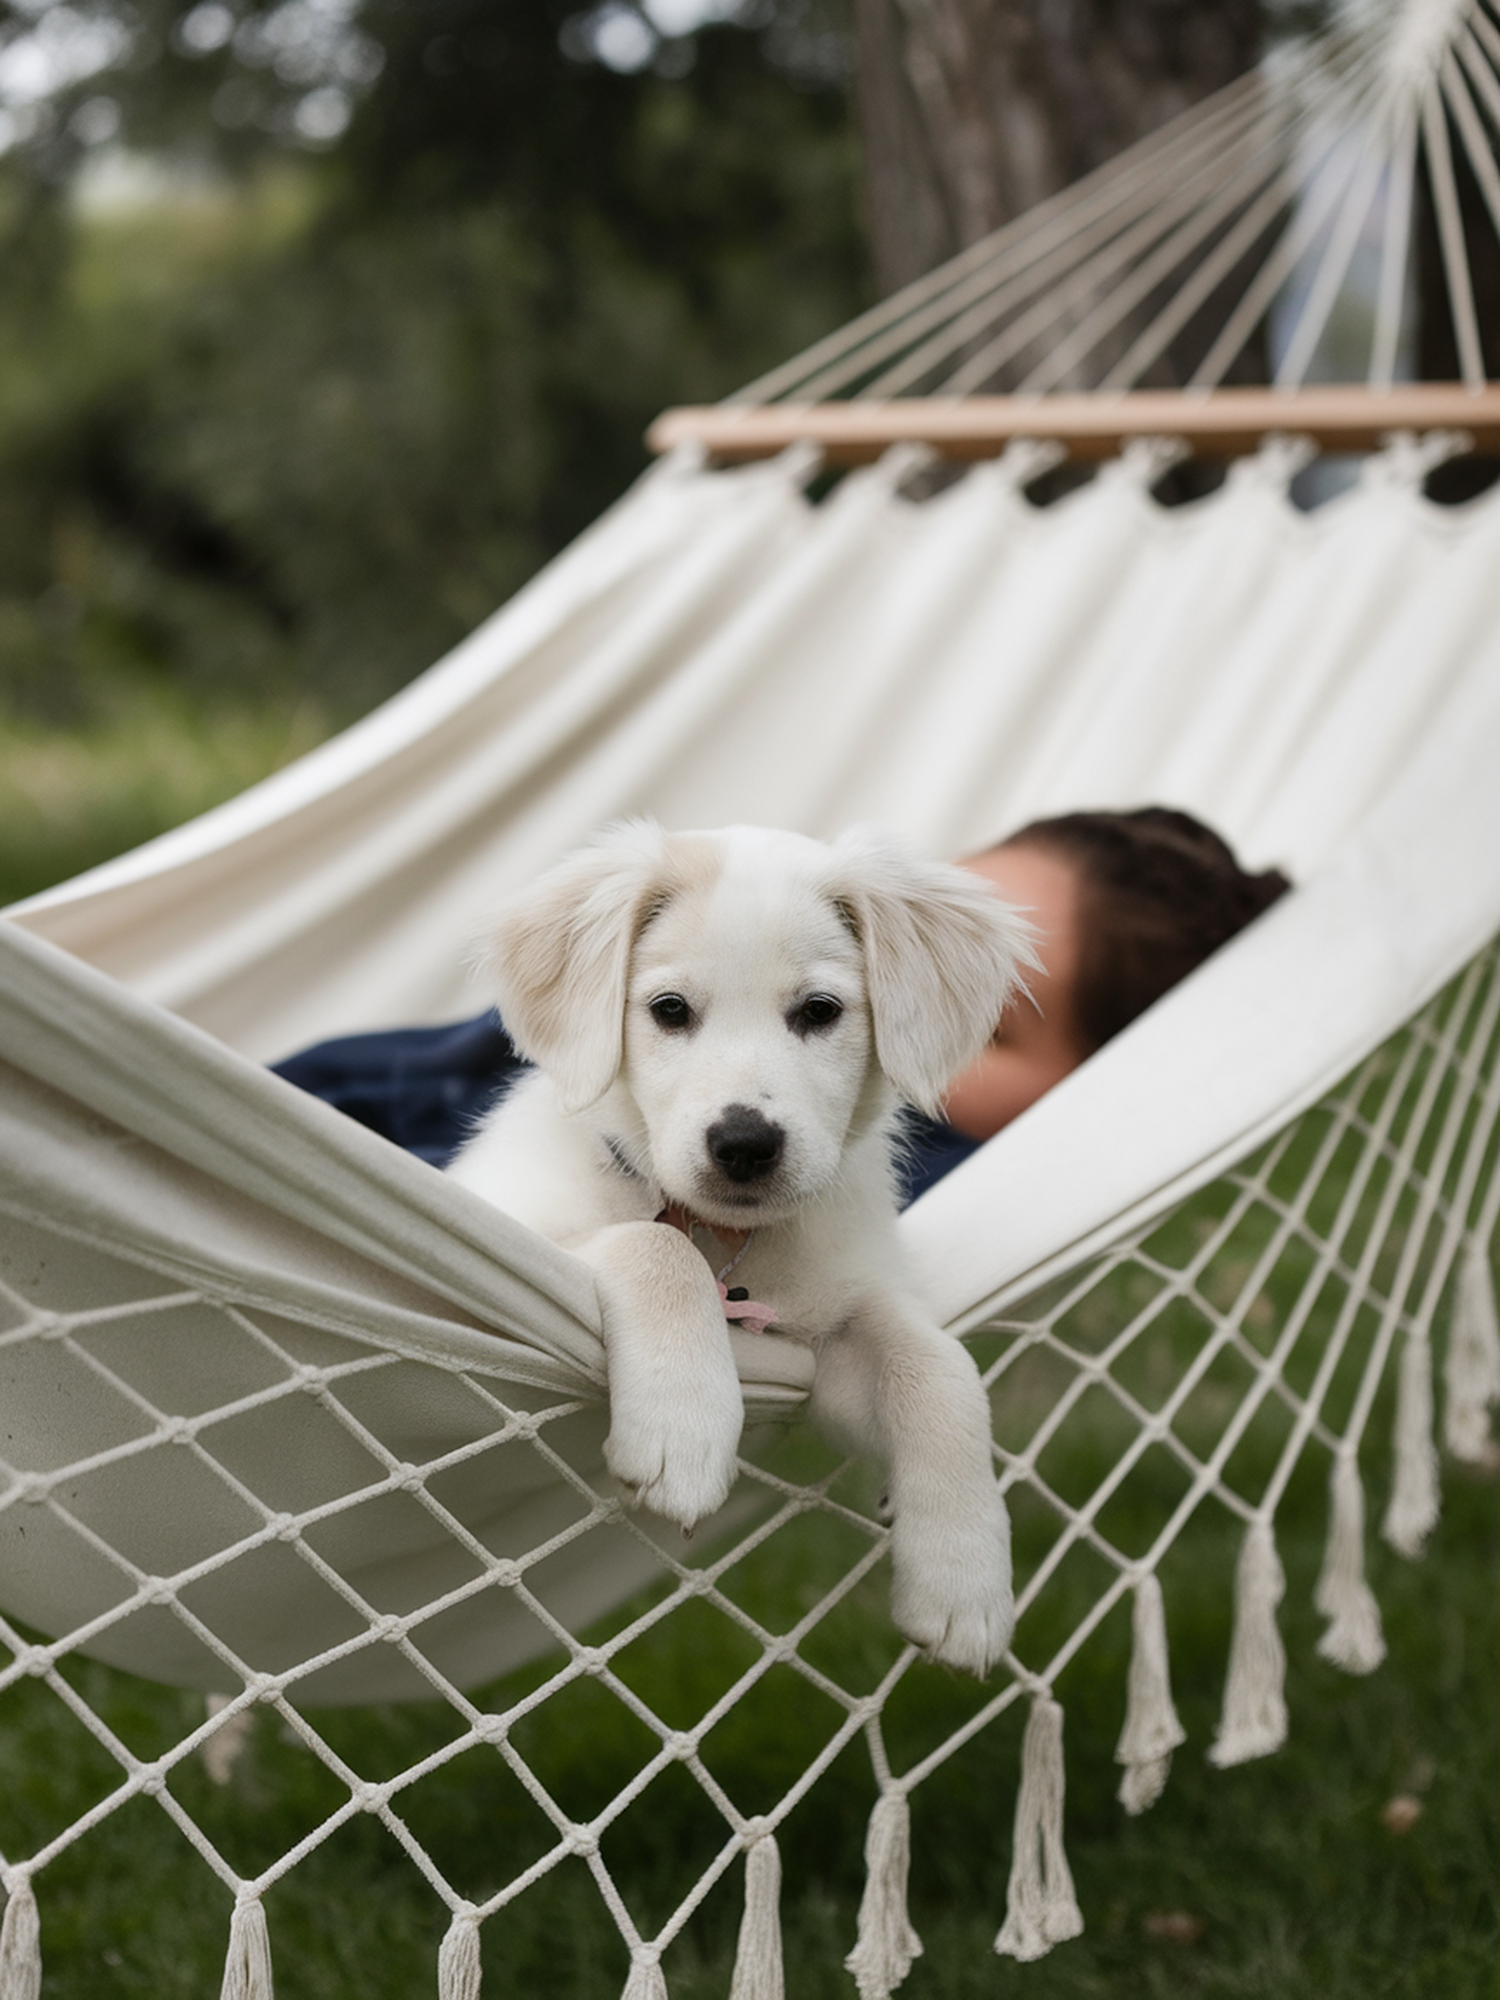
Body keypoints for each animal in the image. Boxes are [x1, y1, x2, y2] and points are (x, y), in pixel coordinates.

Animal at [446, 812, 1032, 1672]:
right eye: (669, 1009)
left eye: (820, 1010)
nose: (745, 1145)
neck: (731, 1237)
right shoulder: (515, 1232)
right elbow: (657, 1248)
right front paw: (684, 1431)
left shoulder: (830, 1329)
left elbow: (940, 1368)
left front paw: (964, 1577)